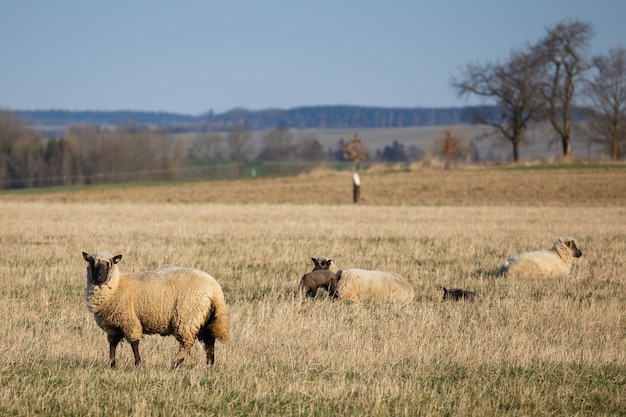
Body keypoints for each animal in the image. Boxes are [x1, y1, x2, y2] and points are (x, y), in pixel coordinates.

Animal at [81, 250, 229, 368]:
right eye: (92, 262)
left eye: (109, 263)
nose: (99, 277)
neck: (117, 286)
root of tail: (215, 289)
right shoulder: (112, 326)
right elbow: (112, 344)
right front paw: (112, 365)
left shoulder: (129, 320)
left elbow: (134, 343)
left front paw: (138, 364)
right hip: (205, 318)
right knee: (209, 341)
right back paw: (209, 365)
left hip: (187, 317)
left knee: (187, 343)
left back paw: (174, 364)